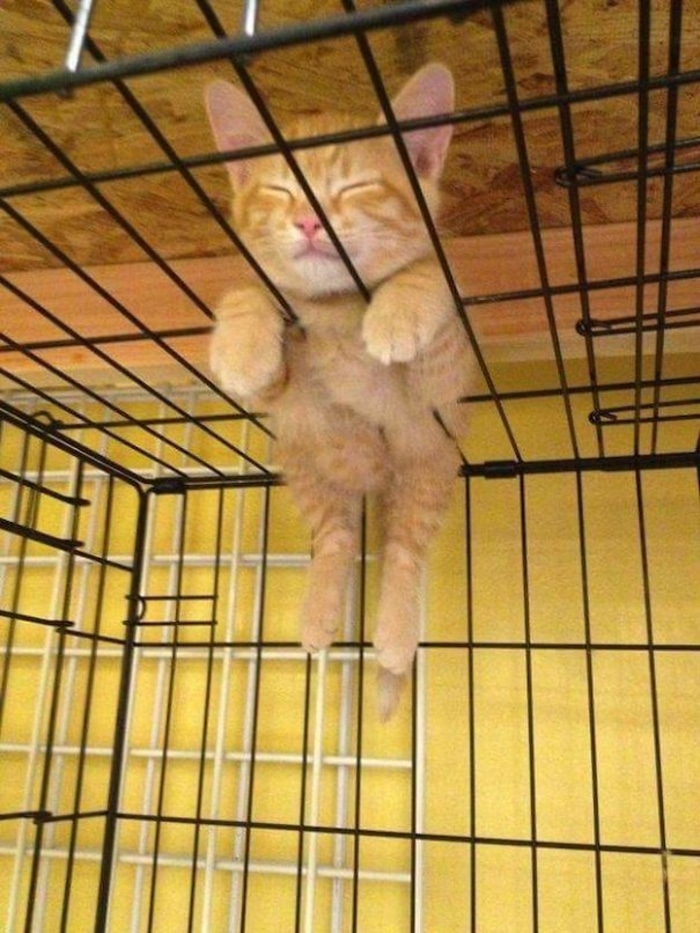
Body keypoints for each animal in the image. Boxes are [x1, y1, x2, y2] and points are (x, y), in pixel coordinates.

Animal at [205, 63, 474, 720]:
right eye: (279, 192)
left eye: (355, 188)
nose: (308, 221)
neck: (335, 309)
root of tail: (370, 479)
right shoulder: (284, 390)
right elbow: (251, 293)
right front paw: (241, 343)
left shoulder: (442, 379)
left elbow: (430, 273)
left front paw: (399, 308)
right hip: (309, 465)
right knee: (337, 539)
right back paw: (318, 617)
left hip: (427, 465)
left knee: (403, 550)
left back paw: (396, 639)